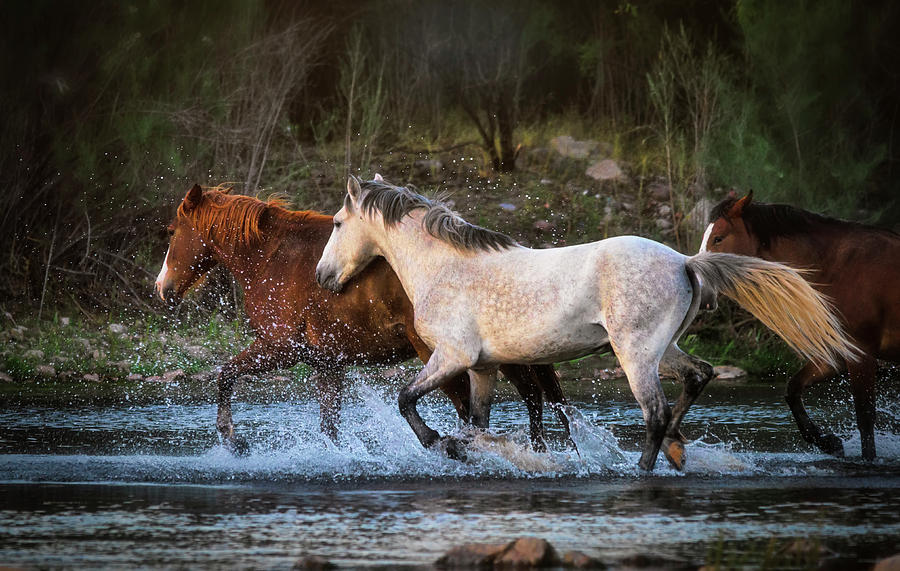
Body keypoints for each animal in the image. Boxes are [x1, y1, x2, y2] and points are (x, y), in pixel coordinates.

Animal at [151, 185, 568, 454]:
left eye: (172, 232)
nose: (162, 288)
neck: (272, 258)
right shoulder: (326, 364)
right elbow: (329, 426)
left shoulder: (279, 348)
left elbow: (226, 375)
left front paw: (233, 440)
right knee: (530, 397)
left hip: (442, 356)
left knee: (481, 406)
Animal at [316, 177, 856, 472]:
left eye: (338, 224)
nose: (323, 277)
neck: (447, 267)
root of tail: (685, 261)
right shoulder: (482, 368)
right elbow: (478, 423)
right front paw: (480, 453)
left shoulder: (451, 357)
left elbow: (406, 399)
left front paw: (440, 444)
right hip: (663, 349)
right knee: (698, 376)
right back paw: (678, 452)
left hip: (635, 354)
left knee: (655, 412)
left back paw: (643, 469)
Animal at [704, 192, 900, 460]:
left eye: (719, 238)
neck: (839, 267)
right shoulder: (838, 353)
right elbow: (793, 389)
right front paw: (828, 442)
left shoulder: (861, 355)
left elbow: (865, 420)